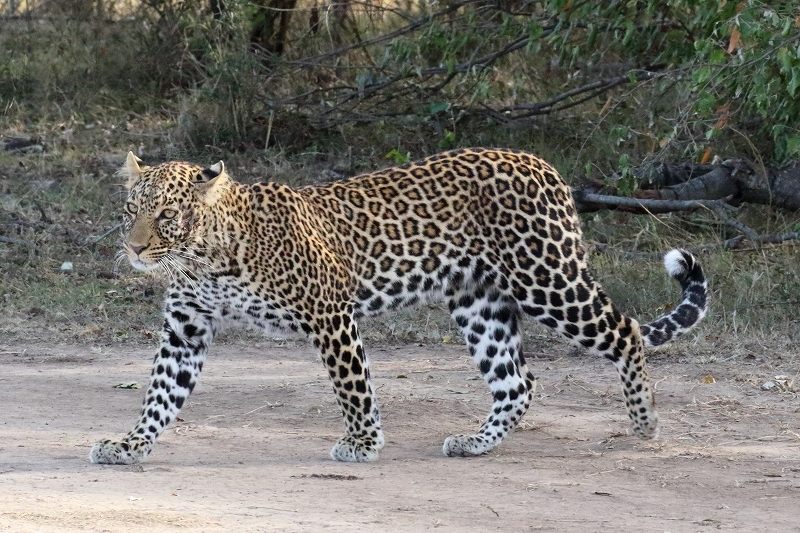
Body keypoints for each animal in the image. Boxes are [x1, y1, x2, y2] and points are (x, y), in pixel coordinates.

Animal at [90, 148, 708, 464]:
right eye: (129, 210)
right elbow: (160, 393)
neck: (205, 255)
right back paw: (475, 443)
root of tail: (543, 165)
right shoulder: (185, 328)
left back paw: (645, 420)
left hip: (546, 279)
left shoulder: (329, 312)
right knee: (517, 381)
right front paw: (130, 443)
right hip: (479, 301)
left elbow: (353, 385)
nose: (134, 248)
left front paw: (363, 443)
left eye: (167, 215)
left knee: (625, 332)